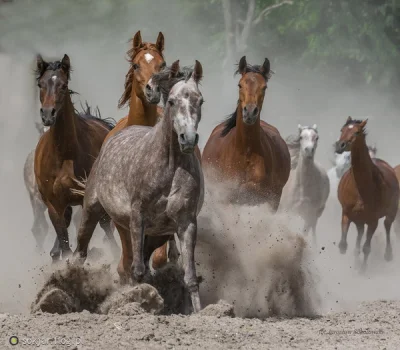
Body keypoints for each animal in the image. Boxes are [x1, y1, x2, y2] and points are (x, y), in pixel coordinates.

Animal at [33, 54, 119, 262]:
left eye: (63, 85)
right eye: (40, 84)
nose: (48, 115)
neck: (63, 154)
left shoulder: (87, 199)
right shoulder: (53, 204)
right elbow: (63, 238)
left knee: (106, 227)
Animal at [74, 59, 206, 312]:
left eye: (200, 100)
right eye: (172, 101)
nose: (188, 139)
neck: (169, 168)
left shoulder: (186, 223)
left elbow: (190, 277)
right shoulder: (138, 216)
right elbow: (137, 271)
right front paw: (139, 302)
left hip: (148, 233)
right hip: (95, 212)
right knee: (82, 253)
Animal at [336, 116, 398, 272]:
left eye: (357, 132)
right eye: (342, 129)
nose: (340, 145)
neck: (361, 189)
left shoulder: (373, 220)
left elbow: (367, 247)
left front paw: (362, 269)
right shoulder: (347, 212)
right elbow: (344, 243)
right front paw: (350, 254)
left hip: (392, 211)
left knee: (387, 225)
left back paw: (388, 254)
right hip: (360, 219)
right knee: (359, 232)